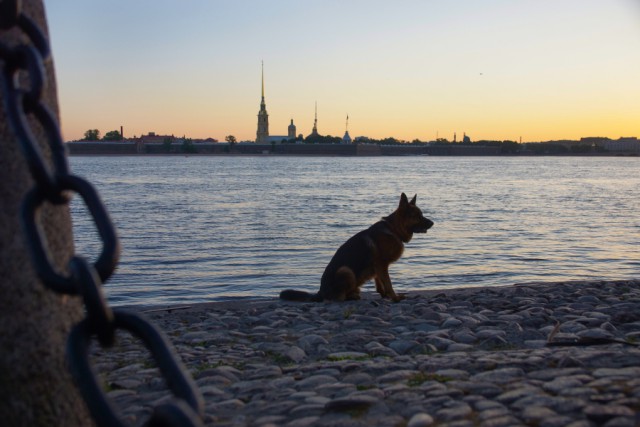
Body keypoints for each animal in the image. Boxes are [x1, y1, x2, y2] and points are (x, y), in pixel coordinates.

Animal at [280, 194, 436, 304]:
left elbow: (380, 283)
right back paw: (351, 297)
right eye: (418, 216)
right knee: (338, 298)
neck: (393, 229)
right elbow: (388, 283)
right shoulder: (381, 265)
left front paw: (385, 296)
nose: (433, 223)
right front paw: (395, 298)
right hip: (345, 270)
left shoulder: (378, 267)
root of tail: (320, 292)